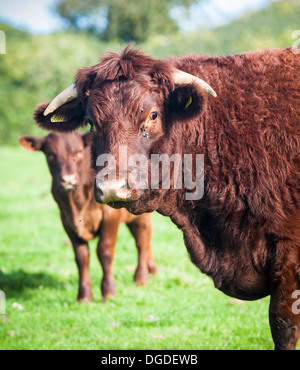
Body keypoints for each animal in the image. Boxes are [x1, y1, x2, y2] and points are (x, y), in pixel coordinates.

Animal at [18, 132, 157, 302]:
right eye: (50, 154)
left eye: (78, 152)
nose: (68, 179)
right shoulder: (66, 220)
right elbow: (81, 256)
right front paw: (84, 296)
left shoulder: (110, 215)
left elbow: (104, 251)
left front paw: (109, 292)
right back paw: (152, 269)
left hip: (141, 215)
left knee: (143, 240)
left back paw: (141, 278)